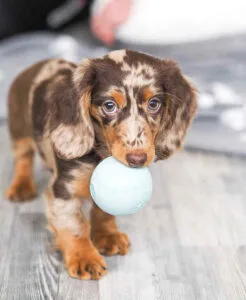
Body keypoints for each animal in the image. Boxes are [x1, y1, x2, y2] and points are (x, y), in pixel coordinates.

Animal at [5, 48, 197, 278]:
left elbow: (103, 211)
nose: (137, 159)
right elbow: (75, 225)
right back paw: (21, 186)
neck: (100, 155)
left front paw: (107, 235)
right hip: (20, 130)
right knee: (23, 158)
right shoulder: (63, 189)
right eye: (109, 106)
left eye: (154, 104)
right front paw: (84, 257)